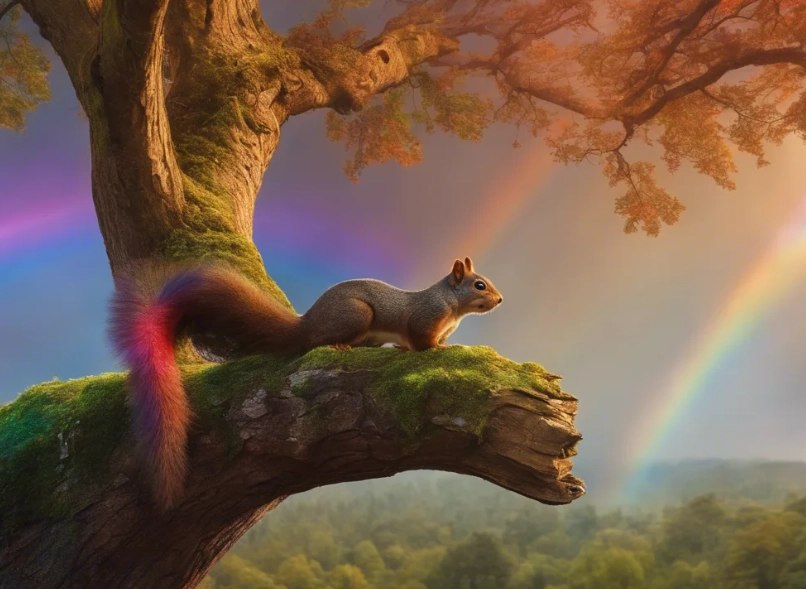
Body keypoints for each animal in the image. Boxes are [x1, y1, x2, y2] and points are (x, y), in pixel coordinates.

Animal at [108, 256, 503, 509]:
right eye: (479, 284)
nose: (499, 299)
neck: (452, 307)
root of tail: (308, 322)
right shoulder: (423, 321)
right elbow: (422, 343)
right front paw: (441, 348)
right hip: (355, 315)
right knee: (321, 342)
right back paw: (340, 345)